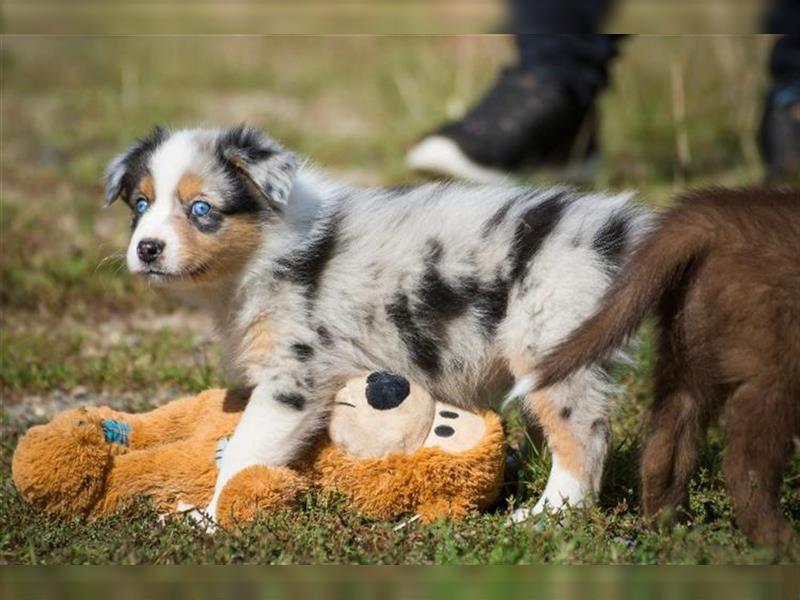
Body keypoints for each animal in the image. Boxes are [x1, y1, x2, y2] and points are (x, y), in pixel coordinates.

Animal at [104, 125, 648, 520]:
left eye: (201, 209)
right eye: (141, 204)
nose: (147, 249)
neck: (263, 251)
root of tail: (613, 231)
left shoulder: (294, 378)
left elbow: (245, 451)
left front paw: (211, 518)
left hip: (550, 341)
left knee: (584, 436)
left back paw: (547, 515)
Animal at [536, 186, 796, 544]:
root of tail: (713, 221)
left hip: (689, 344)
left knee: (666, 440)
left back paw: (673, 530)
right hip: (773, 361)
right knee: (745, 461)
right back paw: (778, 541)